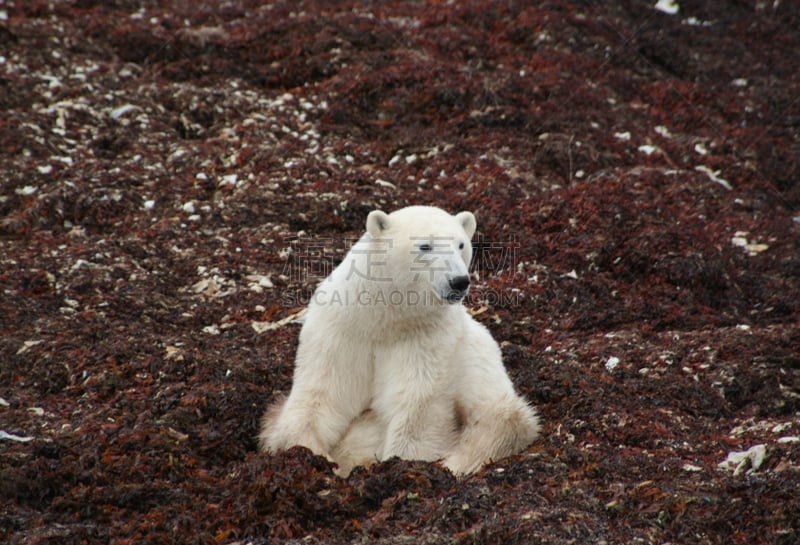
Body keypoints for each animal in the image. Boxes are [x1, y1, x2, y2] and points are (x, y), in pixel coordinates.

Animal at [260, 206, 540, 474]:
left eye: (461, 244)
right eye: (424, 246)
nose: (459, 281)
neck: (384, 318)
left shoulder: (426, 336)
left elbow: (417, 403)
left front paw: (402, 461)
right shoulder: (340, 332)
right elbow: (323, 394)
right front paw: (308, 452)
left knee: (501, 422)